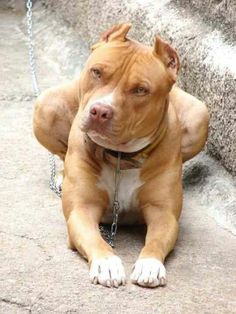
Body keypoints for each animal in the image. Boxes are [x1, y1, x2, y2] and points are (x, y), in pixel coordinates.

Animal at [32, 23, 208, 288]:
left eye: (140, 90)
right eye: (96, 72)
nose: (100, 111)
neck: (119, 158)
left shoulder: (163, 213)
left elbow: (156, 239)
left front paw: (149, 264)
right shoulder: (81, 209)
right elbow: (95, 238)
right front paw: (107, 263)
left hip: (200, 114)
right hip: (46, 105)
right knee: (62, 153)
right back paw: (62, 175)